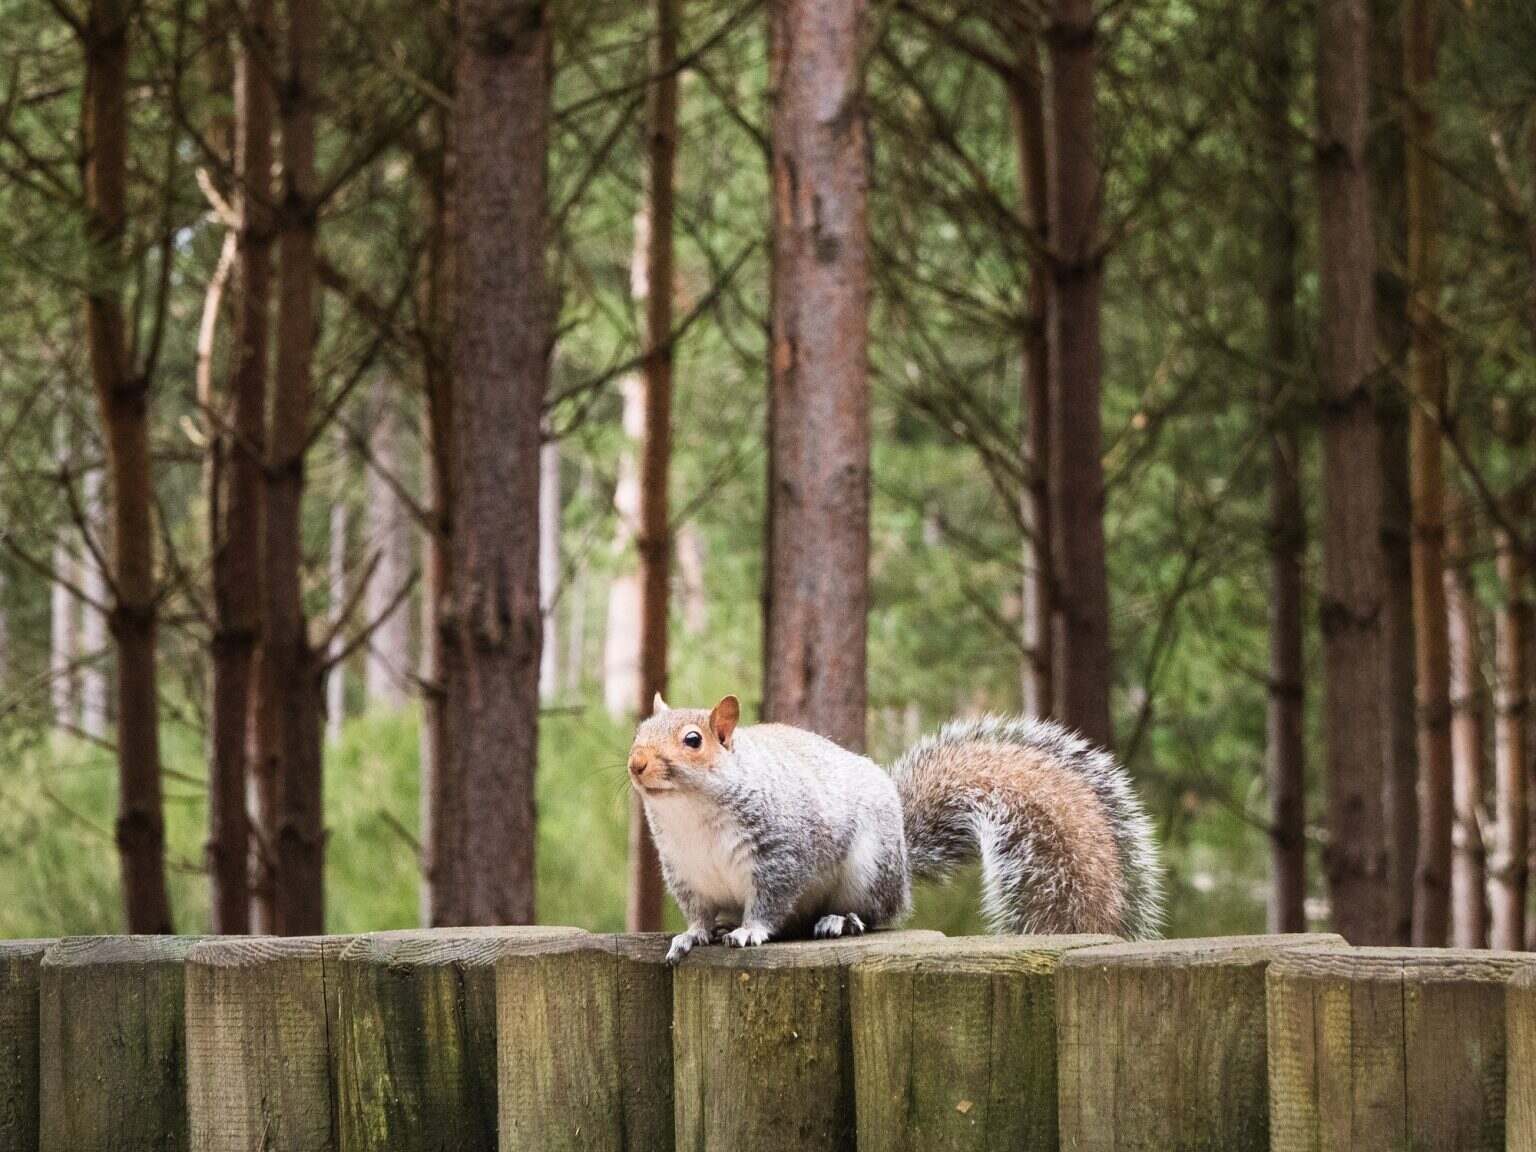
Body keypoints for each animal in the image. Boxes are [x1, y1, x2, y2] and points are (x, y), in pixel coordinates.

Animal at [628, 694, 1164, 964]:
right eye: (638, 733)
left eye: (693, 740)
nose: (635, 764)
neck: (691, 814)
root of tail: (904, 856)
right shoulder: (685, 871)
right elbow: (698, 914)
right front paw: (692, 937)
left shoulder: (781, 852)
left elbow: (769, 901)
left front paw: (749, 931)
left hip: (869, 871)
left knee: (879, 912)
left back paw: (840, 920)